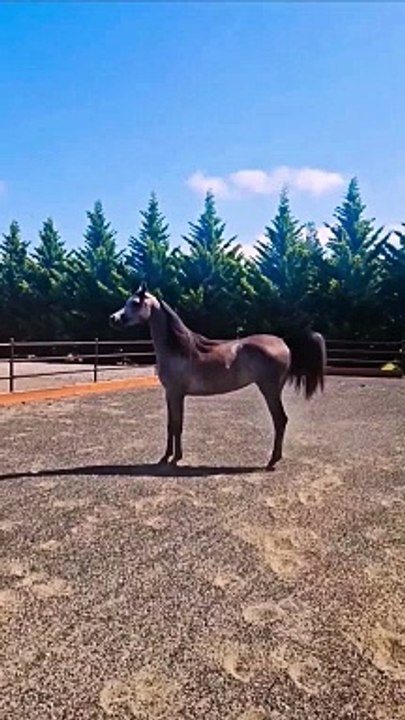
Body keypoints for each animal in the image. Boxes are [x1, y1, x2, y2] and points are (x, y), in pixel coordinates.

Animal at [110, 282, 326, 470]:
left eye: (135, 303)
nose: (113, 318)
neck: (179, 349)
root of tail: (283, 341)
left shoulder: (176, 394)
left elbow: (177, 424)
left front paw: (174, 458)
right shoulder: (171, 395)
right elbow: (172, 425)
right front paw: (167, 456)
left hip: (270, 390)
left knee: (280, 420)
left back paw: (272, 460)